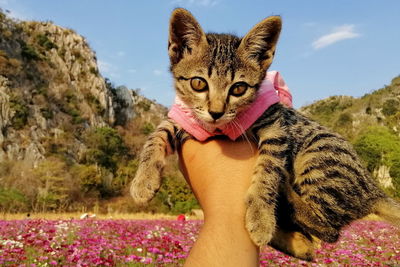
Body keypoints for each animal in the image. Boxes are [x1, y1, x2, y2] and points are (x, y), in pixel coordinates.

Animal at [130, 8, 398, 262]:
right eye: (198, 83)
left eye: (238, 88)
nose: (216, 112)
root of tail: (373, 189)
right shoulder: (181, 118)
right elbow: (155, 136)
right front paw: (144, 180)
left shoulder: (276, 125)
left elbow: (268, 170)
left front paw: (260, 215)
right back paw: (298, 243)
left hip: (318, 154)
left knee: (329, 229)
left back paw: (284, 195)